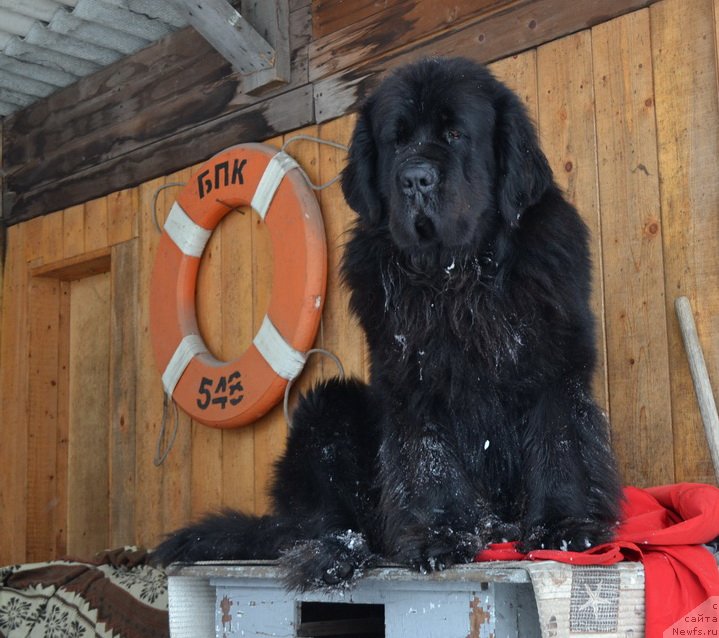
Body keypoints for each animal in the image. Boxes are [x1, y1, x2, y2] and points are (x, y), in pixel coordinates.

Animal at [153, 57, 624, 592]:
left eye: (456, 133)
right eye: (396, 141)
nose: (416, 178)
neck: (458, 279)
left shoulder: (552, 359)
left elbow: (560, 441)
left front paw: (563, 527)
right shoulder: (411, 375)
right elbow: (427, 455)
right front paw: (440, 535)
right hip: (326, 409)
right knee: (319, 523)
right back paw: (334, 555)